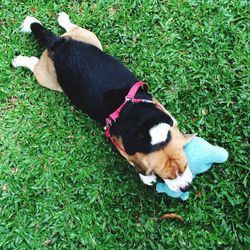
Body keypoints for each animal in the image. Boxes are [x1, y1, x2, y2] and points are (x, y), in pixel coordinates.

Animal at [12, 12, 194, 192]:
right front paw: (146, 178)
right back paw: (20, 60)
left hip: (90, 38)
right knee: (34, 64)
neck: (146, 127)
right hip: (47, 78)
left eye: (185, 166)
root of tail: (56, 44)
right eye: (166, 176)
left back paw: (63, 19)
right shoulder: (123, 149)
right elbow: (135, 163)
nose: (186, 188)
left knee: (72, 28)